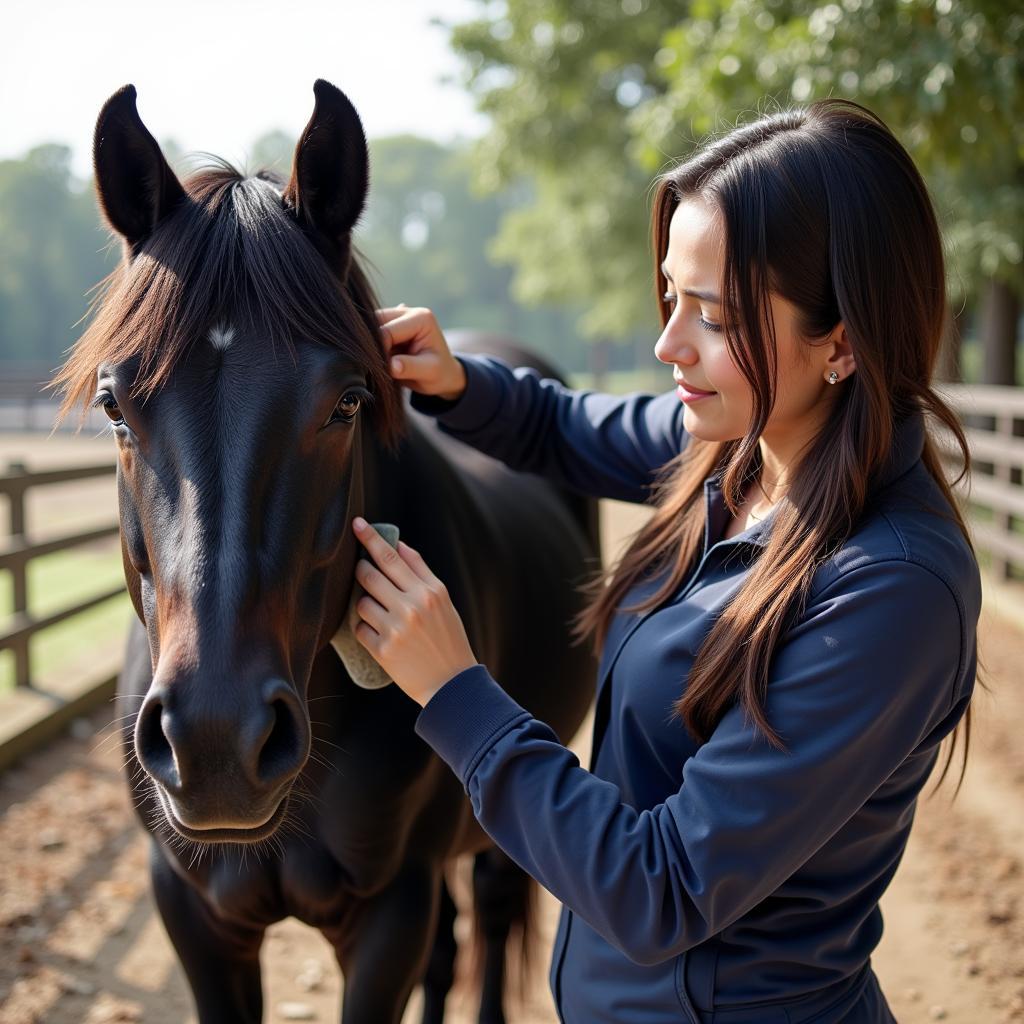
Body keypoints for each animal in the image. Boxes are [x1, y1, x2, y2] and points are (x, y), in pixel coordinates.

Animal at [54, 79, 598, 1024]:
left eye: (347, 403)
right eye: (115, 405)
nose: (216, 743)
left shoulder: (388, 917)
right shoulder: (197, 919)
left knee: (491, 920)